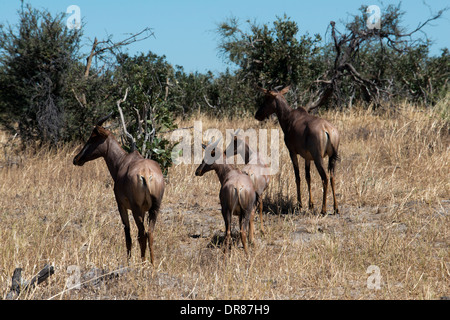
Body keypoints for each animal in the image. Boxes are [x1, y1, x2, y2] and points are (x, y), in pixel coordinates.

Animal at [73, 114, 164, 264]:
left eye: (93, 137)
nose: (76, 159)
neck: (123, 161)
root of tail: (146, 174)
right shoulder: (145, 209)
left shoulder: (121, 205)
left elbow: (127, 234)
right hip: (154, 208)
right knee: (149, 233)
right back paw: (152, 264)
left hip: (136, 209)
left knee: (141, 234)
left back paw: (143, 264)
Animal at [255, 86, 340, 214]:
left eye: (267, 98)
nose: (257, 115)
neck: (290, 118)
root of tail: (328, 130)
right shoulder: (307, 157)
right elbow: (308, 177)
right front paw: (311, 205)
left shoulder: (292, 152)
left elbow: (298, 177)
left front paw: (300, 205)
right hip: (331, 158)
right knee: (332, 177)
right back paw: (336, 208)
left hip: (318, 158)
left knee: (324, 177)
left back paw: (323, 209)